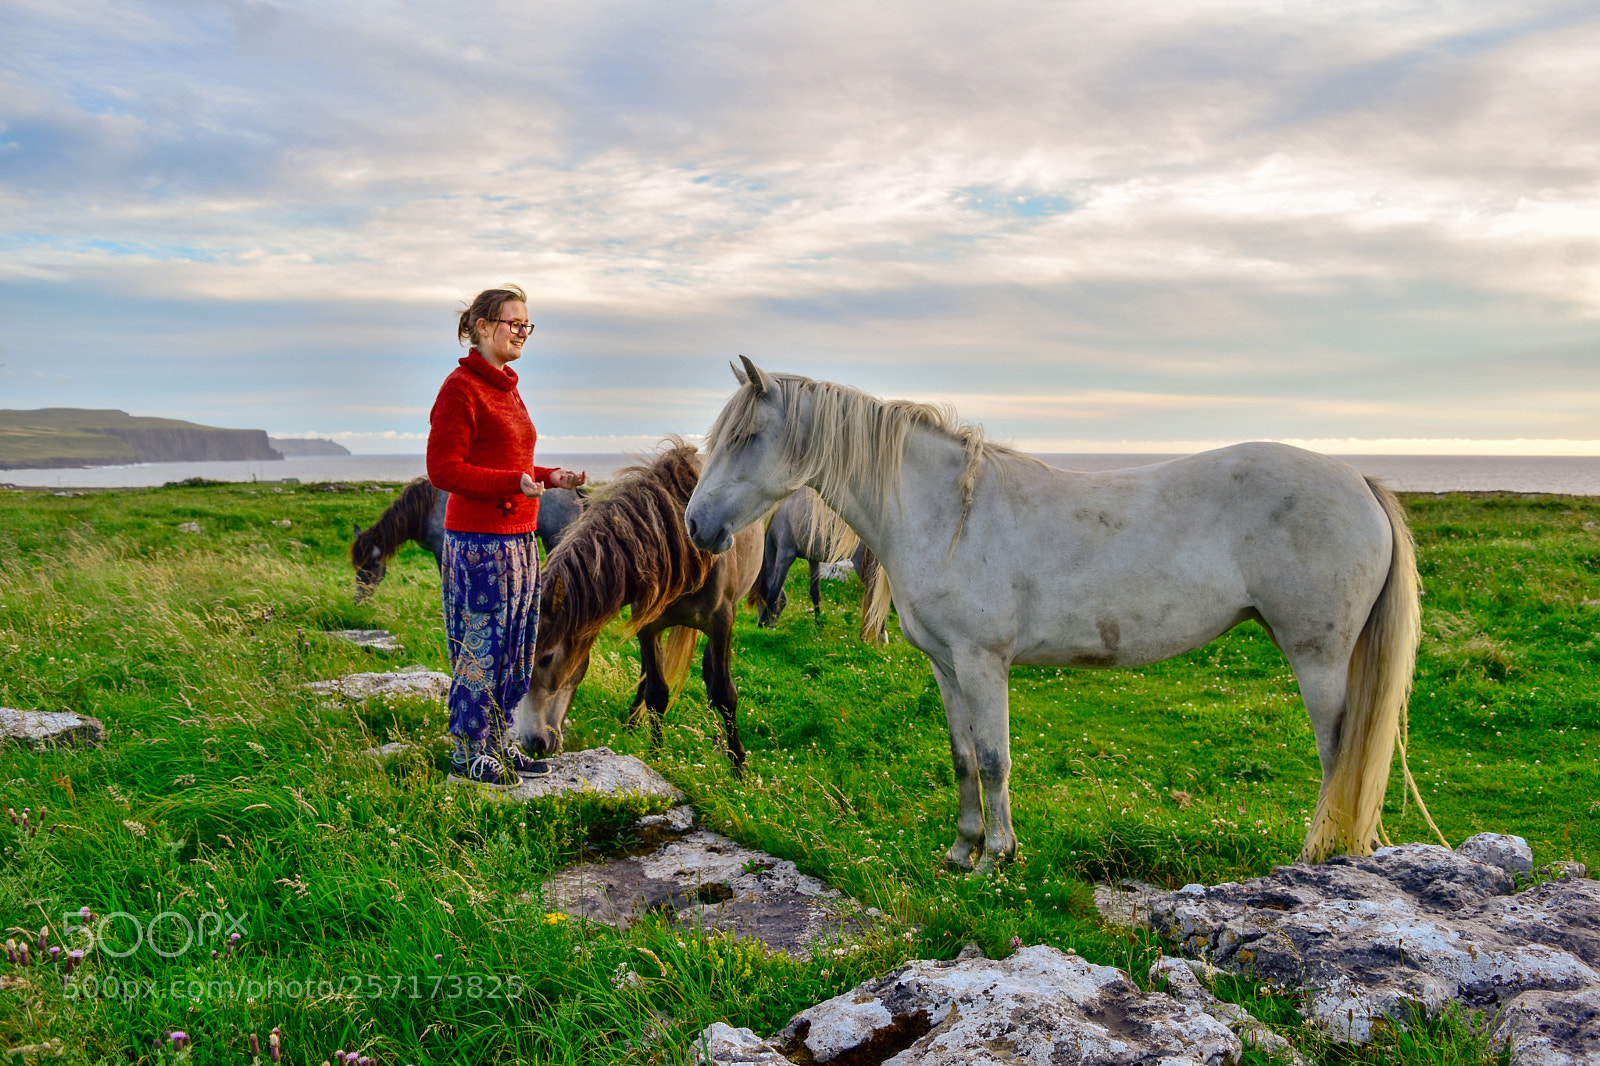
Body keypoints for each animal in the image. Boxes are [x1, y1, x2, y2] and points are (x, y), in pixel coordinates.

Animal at [511, 440, 763, 773]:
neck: (680, 548)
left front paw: (739, 766)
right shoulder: (647, 626)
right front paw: (655, 756)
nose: (534, 743)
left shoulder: (721, 622)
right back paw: (632, 720)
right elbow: (656, 692)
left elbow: (724, 694)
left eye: (547, 658)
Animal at [752, 487, 889, 643]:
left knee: (874, 594)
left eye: (759, 599)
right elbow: (815, 593)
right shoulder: (813, 560)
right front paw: (819, 623)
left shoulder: (785, 555)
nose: (762, 624)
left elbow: (774, 590)